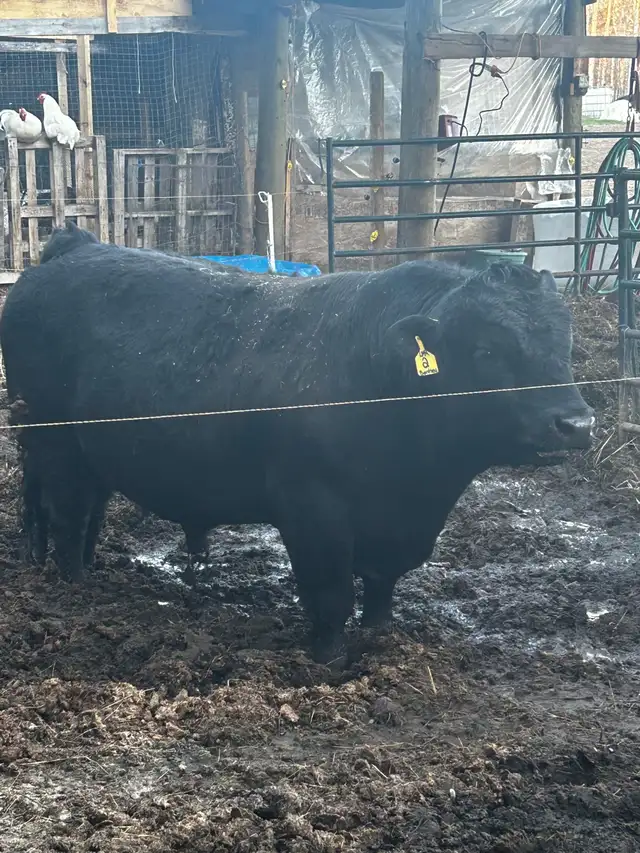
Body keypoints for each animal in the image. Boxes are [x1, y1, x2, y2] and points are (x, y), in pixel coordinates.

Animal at [0, 222, 594, 663]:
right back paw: (77, 585)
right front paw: (330, 660)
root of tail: (78, 245)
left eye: (563, 345)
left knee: (78, 508)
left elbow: (382, 583)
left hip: (90, 448)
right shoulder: (311, 506)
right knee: (67, 512)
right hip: (56, 438)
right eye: (489, 351)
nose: (576, 424)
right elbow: (329, 593)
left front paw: (380, 636)